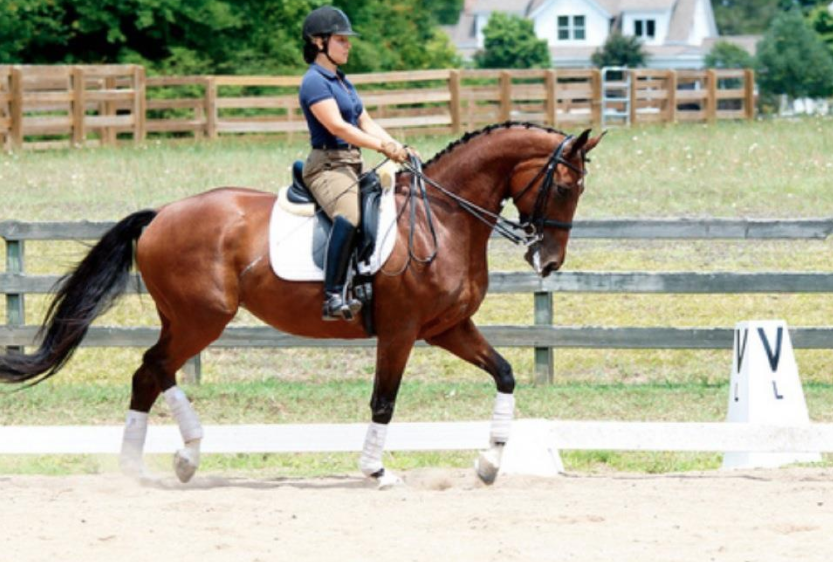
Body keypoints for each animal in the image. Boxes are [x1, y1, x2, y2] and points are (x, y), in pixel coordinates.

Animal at [0, 122, 602, 487]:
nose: (548, 262)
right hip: (201, 318)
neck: (445, 219)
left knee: (152, 371)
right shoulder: (401, 331)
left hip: (186, 318)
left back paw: (163, 462)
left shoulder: (447, 327)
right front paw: (377, 471)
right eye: (565, 186)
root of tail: (162, 213)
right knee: (155, 368)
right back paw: (159, 461)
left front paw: (488, 464)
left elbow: (505, 375)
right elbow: (383, 402)